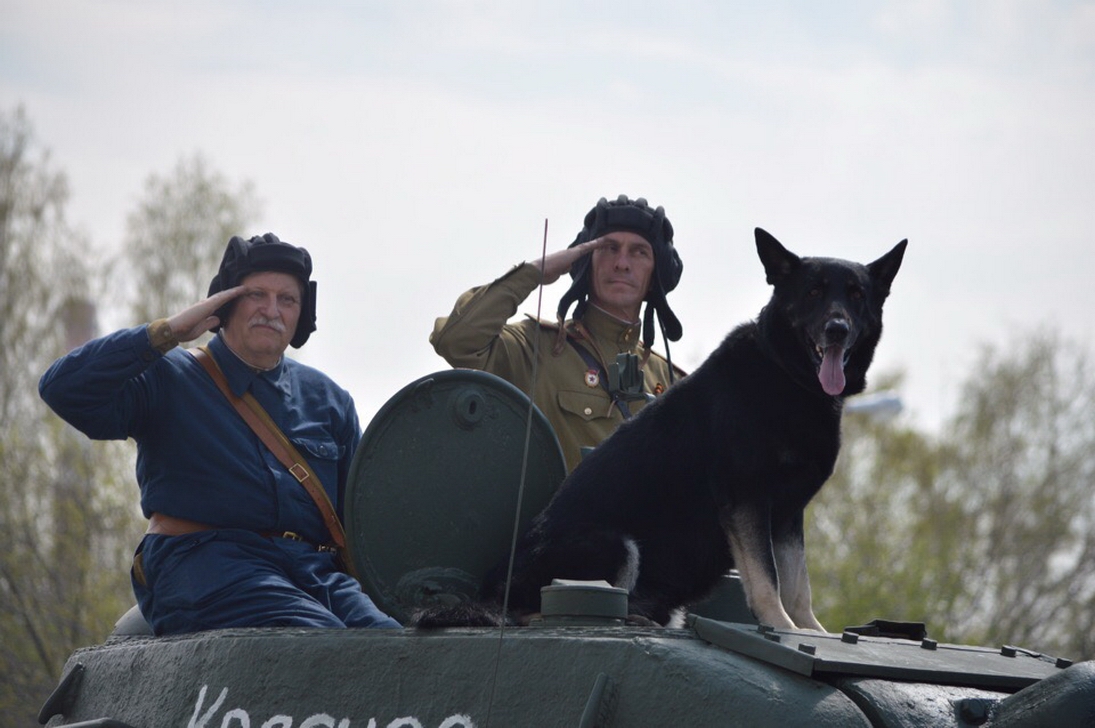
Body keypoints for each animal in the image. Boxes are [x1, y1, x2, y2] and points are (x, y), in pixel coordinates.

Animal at [418, 228, 906, 630]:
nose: (837, 328)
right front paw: (782, 630)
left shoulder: (787, 513)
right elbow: (767, 581)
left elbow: (798, 586)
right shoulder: (747, 499)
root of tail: (489, 590)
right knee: (543, 610)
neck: (786, 373)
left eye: (857, 295)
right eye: (813, 292)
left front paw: (811, 633)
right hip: (613, 544)